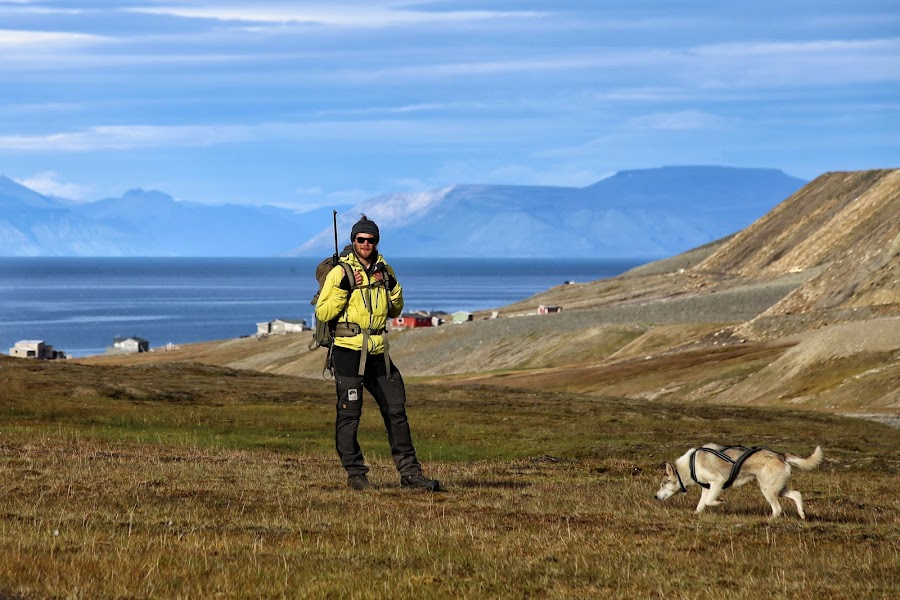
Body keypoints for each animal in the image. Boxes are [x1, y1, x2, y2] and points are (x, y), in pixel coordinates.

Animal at [652, 442, 824, 516]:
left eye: (663, 484)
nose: (655, 496)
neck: (689, 465)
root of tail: (781, 455)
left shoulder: (718, 482)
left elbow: (710, 501)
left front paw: (720, 502)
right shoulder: (707, 488)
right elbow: (701, 504)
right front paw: (696, 514)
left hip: (767, 490)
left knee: (778, 509)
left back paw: (769, 520)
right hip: (777, 488)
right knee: (797, 494)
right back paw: (802, 514)